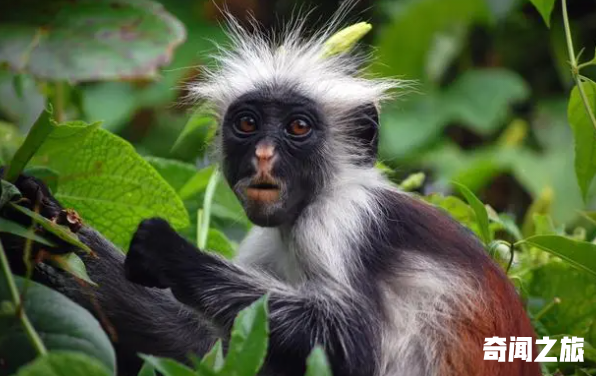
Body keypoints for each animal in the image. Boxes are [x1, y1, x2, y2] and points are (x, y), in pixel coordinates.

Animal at [1, 2, 540, 376]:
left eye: (298, 127)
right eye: (247, 123)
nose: (262, 154)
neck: (308, 206)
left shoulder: (343, 219)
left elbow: (351, 343)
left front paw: (167, 252)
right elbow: (203, 349)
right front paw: (34, 221)